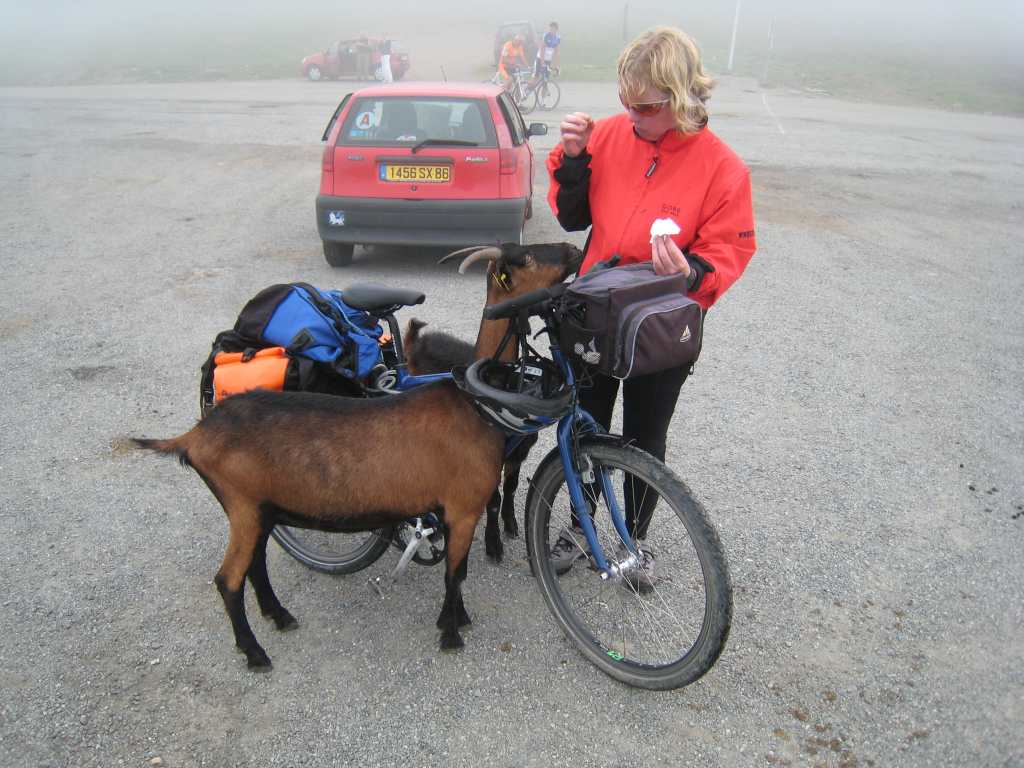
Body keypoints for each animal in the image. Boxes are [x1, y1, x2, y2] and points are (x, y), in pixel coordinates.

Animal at [135, 243, 581, 671]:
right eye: (526, 257)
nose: (574, 250)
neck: (473, 403)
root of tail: (195, 435)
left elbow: (460, 570)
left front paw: (457, 619)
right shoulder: (462, 507)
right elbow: (455, 573)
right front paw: (451, 633)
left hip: (259, 509)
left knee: (255, 565)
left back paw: (279, 616)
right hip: (243, 505)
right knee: (228, 580)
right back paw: (256, 654)